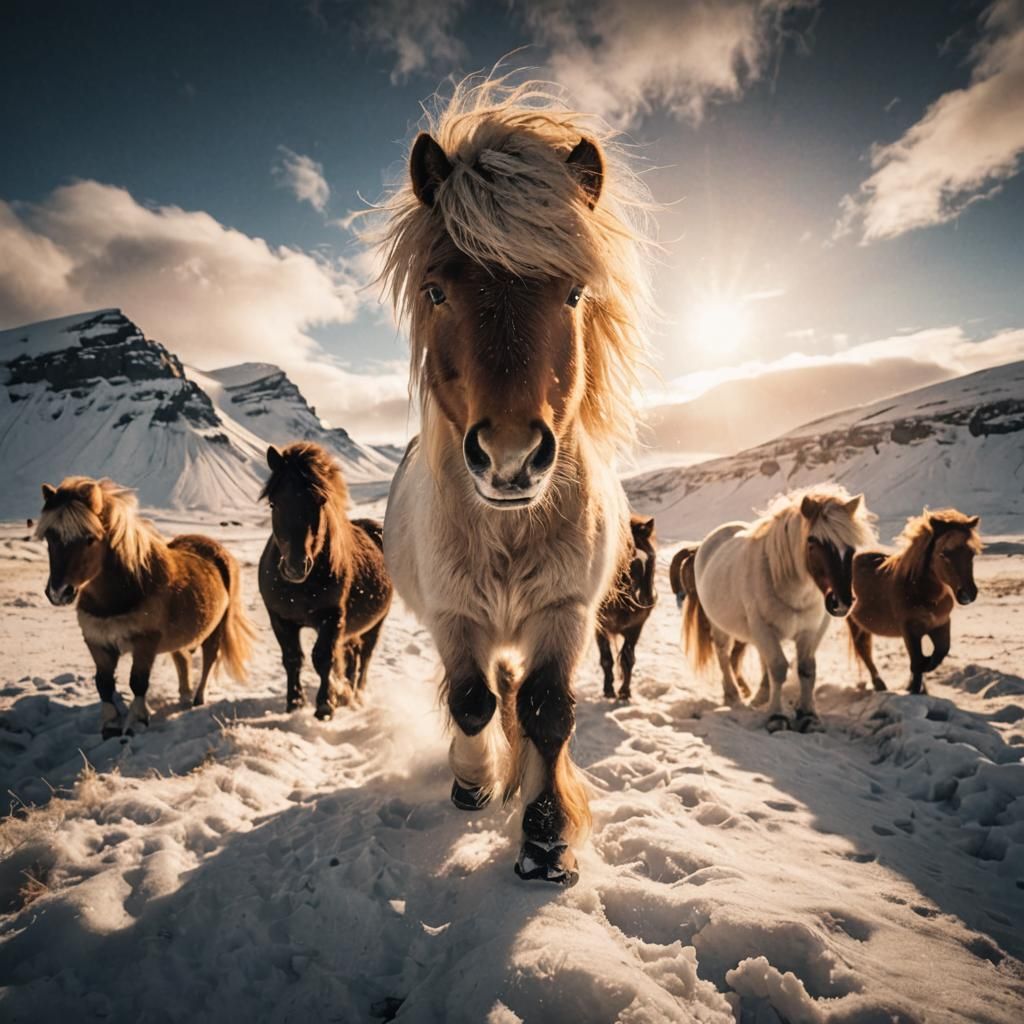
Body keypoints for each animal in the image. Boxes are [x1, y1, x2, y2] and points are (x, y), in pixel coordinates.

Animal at [37, 477, 253, 738]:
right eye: (50, 536)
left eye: (89, 538)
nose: (59, 592)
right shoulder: (97, 641)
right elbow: (103, 683)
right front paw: (110, 724)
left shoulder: (145, 641)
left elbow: (137, 682)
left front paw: (136, 722)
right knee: (182, 659)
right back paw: (184, 696)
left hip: (216, 630)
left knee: (209, 660)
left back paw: (198, 698)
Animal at [258, 443, 393, 719]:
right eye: (273, 503)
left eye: (320, 501)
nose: (295, 567)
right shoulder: (280, 619)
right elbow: (292, 658)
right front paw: (295, 704)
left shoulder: (332, 617)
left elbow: (322, 658)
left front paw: (325, 706)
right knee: (352, 658)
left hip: (375, 625)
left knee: (365, 658)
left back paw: (357, 696)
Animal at [596, 514, 657, 701]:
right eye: (626, 559)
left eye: (650, 560)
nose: (643, 599)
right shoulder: (600, 627)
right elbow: (606, 658)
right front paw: (609, 689)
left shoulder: (635, 628)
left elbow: (628, 659)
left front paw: (624, 691)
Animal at [683, 485, 877, 732]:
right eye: (812, 541)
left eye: (850, 547)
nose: (841, 602)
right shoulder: (764, 627)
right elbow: (778, 668)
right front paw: (776, 716)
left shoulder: (810, 631)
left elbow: (806, 669)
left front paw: (808, 715)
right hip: (721, 626)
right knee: (724, 654)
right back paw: (732, 694)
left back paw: (761, 695)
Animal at [847, 508, 981, 695]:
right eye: (943, 554)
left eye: (971, 553)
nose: (968, 594)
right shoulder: (910, 630)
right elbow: (917, 662)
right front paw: (915, 688)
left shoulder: (941, 624)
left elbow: (939, 652)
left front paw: (919, 681)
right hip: (853, 621)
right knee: (863, 649)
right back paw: (879, 684)